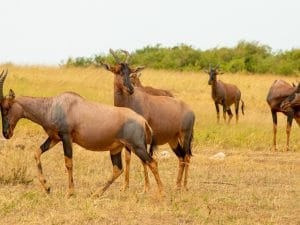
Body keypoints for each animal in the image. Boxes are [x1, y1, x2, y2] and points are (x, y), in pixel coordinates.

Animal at [0, 69, 164, 197]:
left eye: (7, 107)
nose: (6, 133)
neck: (54, 105)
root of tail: (142, 120)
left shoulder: (66, 137)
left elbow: (68, 163)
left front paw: (70, 192)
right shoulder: (54, 138)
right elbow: (36, 152)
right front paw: (47, 187)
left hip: (137, 146)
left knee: (152, 162)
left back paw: (161, 193)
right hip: (116, 148)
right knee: (118, 169)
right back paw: (96, 194)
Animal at [101, 49, 195, 192]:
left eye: (130, 71)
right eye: (117, 71)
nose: (130, 89)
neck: (131, 101)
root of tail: (190, 109)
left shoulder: (141, 139)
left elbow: (144, 160)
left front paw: (146, 187)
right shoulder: (127, 139)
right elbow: (128, 158)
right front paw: (125, 186)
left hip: (185, 135)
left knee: (187, 156)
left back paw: (184, 186)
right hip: (173, 139)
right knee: (181, 156)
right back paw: (177, 185)